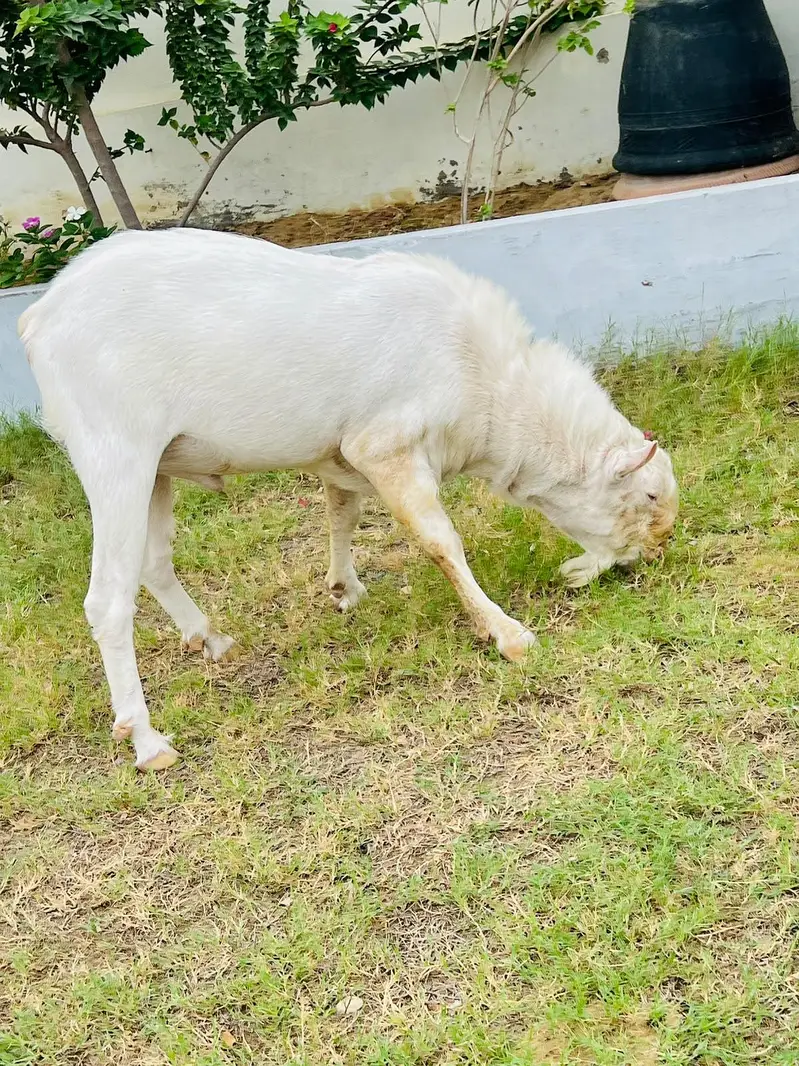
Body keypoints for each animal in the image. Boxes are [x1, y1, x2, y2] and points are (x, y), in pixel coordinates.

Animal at [20, 230, 678, 770]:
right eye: (646, 496)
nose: (649, 560)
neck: (495, 390)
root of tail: (38, 318)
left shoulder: (340, 455)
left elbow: (343, 513)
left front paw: (345, 588)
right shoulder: (386, 446)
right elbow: (441, 541)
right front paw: (507, 633)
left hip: (157, 465)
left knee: (153, 562)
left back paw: (209, 639)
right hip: (116, 453)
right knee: (108, 599)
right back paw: (146, 739)